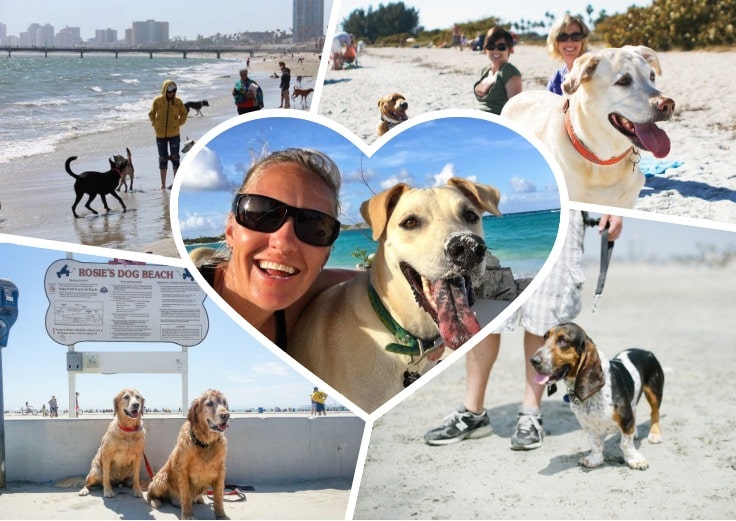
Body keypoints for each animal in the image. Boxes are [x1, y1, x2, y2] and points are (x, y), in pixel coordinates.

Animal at [147, 388, 230, 516]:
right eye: (209, 403)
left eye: (224, 402)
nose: (226, 415)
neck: (204, 443)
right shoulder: (183, 471)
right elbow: (185, 495)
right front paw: (187, 515)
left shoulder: (220, 471)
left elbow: (218, 497)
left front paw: (221, 515)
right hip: (161, 478)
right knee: (149, 494)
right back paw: (155, 501)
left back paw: (197, 499)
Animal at [532, 322, 664, 470]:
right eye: (545, 337)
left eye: (563, 340)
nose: (533, 361)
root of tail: (646, 352)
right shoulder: (589, 426)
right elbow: (595, 444)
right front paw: (595, 459)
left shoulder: (625, 420)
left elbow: (625, 444)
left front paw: (635, 460)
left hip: (654, 392)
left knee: (655, 413)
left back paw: (654, 435)